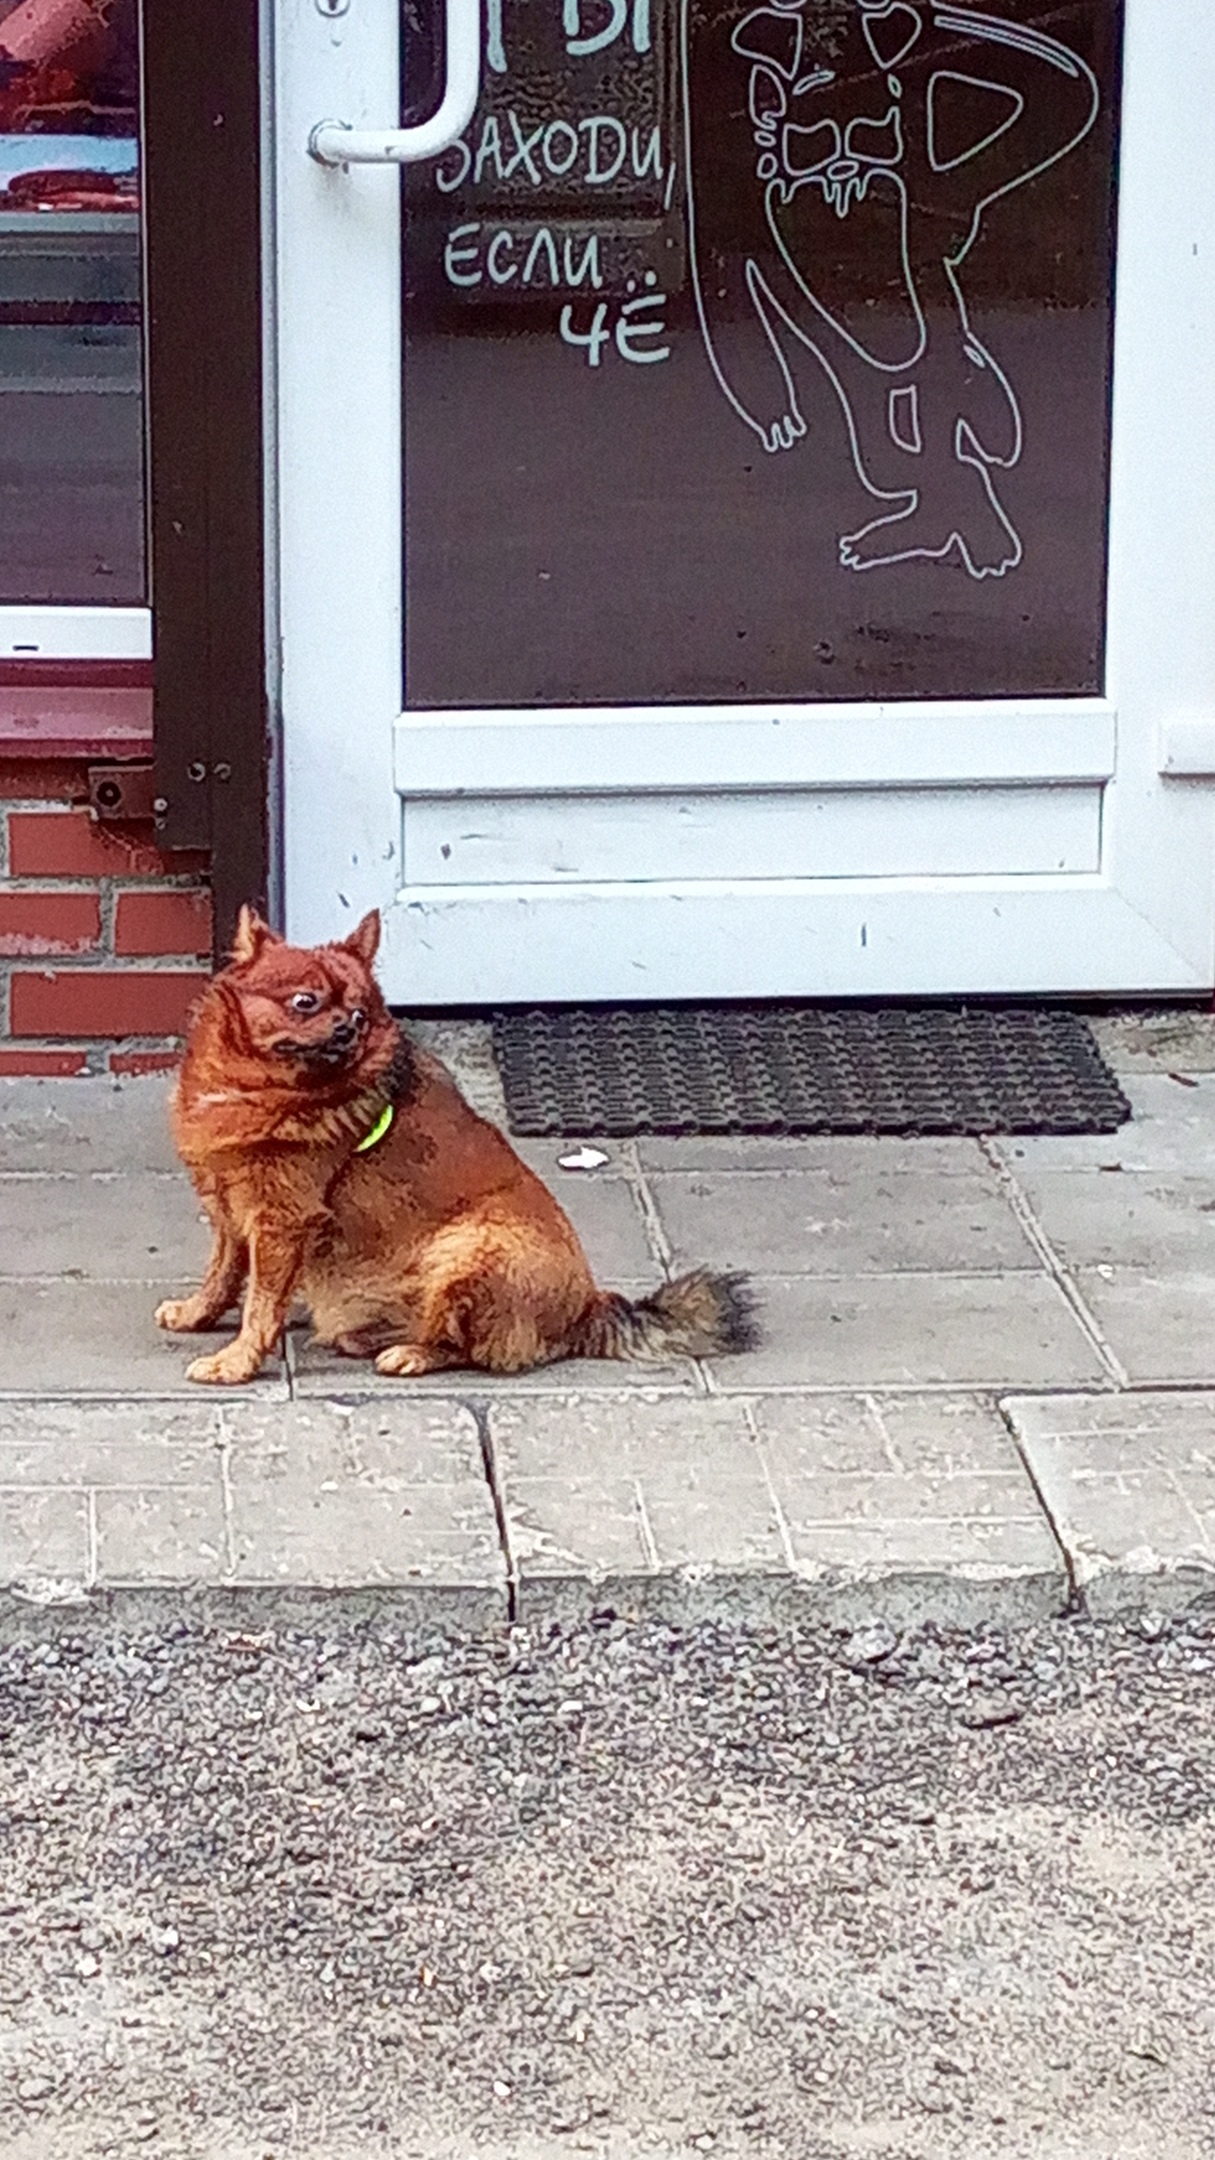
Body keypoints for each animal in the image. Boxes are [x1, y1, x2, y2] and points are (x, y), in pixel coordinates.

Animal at [155, 907, 752, 1382]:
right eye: (306, 1002)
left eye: (361, 1013)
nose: (349, 1028)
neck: (252, 1086)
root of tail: (587, 1309)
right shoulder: (231, 1212)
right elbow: (224, 1274)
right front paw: (196, 1314)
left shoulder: (280, 1222)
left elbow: (259, 1304)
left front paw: (235, 1362)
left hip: (469, 1253)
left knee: (466, 1348)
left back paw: (412, 1352)